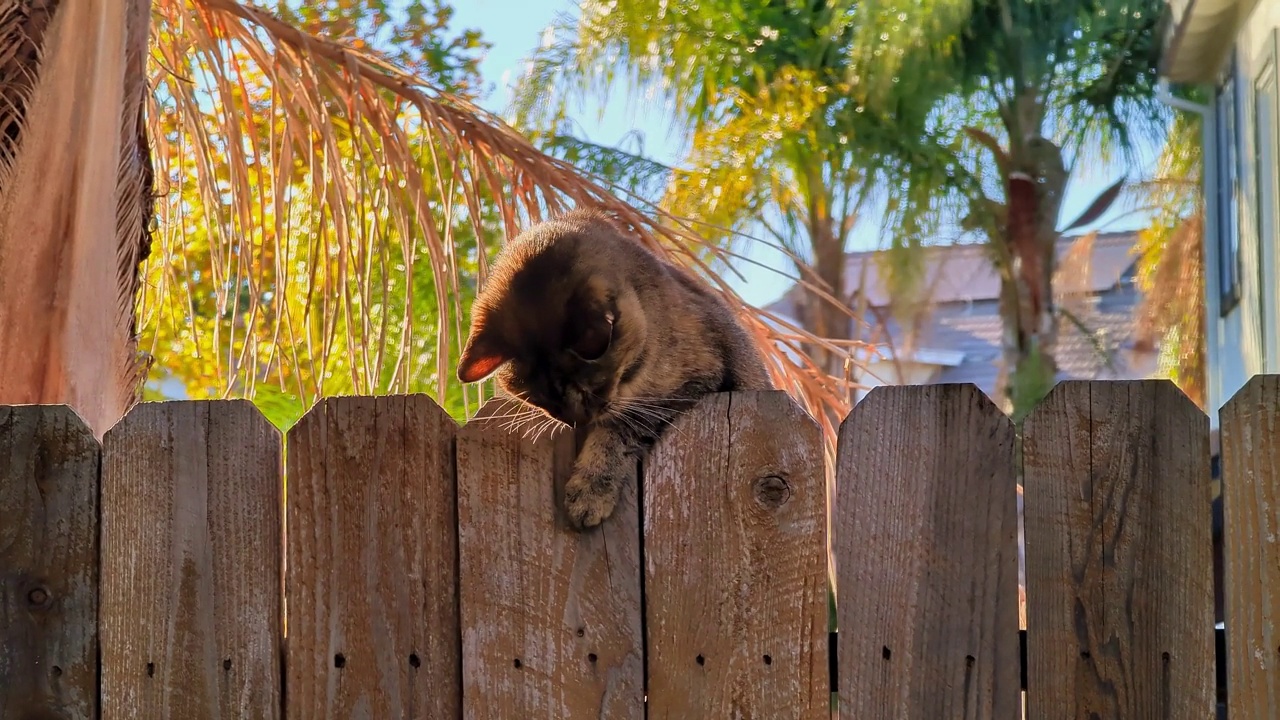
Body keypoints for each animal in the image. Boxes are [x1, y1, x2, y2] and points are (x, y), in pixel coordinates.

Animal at [458, 206, 768, 527]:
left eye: (590, 387)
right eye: (536, 398)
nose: (576, 421)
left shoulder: (697, 376)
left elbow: (619, 430)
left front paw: (590, 490)